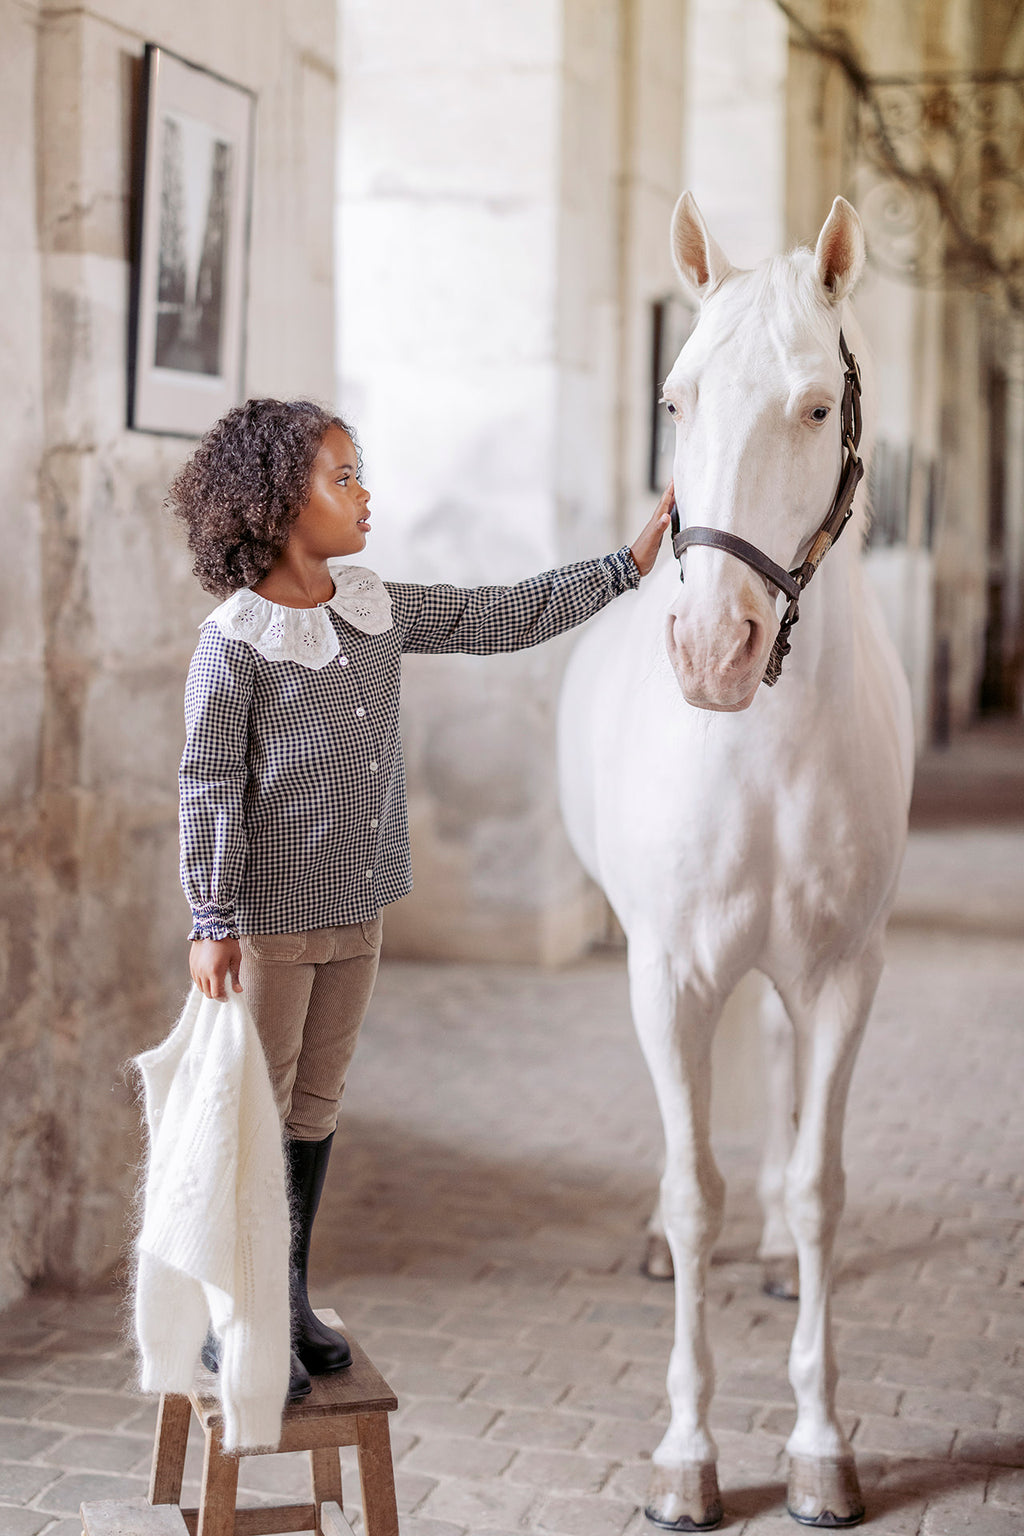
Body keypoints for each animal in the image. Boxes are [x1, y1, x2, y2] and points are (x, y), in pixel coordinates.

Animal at [561, 198, 914, 1529]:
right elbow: (688, 1184)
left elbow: (816, 1186)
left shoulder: (843, 974)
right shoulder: (668, 973)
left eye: (814, 407)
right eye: (676, 400)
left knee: (770, 1067)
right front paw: (685, 1454)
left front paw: (818, 1446)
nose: (713, 648)